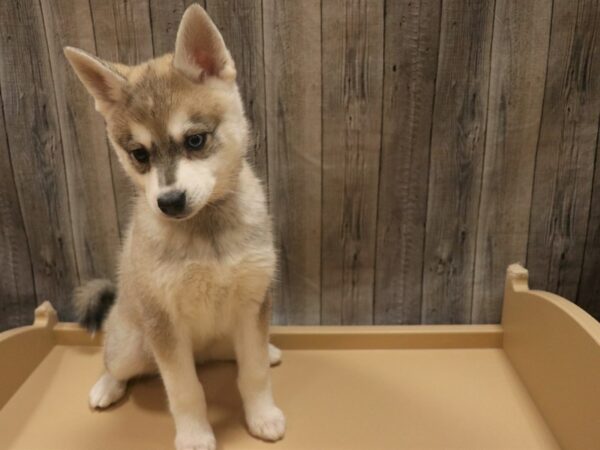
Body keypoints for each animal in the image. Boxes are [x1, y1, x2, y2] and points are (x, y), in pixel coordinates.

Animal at [64, 4, 284, 450]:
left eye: (195, 140)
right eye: (139, 154)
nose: (169, 203)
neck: (207, 233)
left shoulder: (253, 304)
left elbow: (253, 373)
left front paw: (262, 416)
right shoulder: (165, 324)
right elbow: (185, 390)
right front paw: (196, 434)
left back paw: (268, 350)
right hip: (133, 344)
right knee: (113, 363)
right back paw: (106, 386)